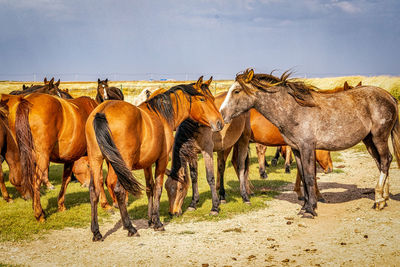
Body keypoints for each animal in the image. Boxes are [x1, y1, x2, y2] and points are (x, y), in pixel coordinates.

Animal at [12, 92, 97, 222]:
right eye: (87, 165)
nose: (86, 184)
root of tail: (27, 101)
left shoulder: (70, 159)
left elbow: (66, 180)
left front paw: (61, 205)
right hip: (42, 158)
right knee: (36, 181)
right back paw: (39, 214)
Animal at [85, 76, 223, 242]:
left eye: (212, 99)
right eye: (202, 99)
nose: (219, 122)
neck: (162, 115)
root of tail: (102, 112)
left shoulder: (147, 164)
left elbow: (149, 188)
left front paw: (150, 219)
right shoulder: (162, 160)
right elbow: (157, 188)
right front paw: (157, 222)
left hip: (96, 161)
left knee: (94, 191)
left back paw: (96, 232)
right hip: (121, 164)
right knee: (119, 190)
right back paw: (130, 227)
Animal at [165, 90, 252, 218]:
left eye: (180, 189)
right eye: (166, 188)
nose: (173, 213)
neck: (195, 127)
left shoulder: (207, 152)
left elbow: (210, 177)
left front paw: (214, 207)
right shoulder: (193, 153)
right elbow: (194, 176)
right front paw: (193, 203)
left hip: (243, 140)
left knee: (241, 167)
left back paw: (245, 197)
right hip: (224, 147)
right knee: (221, 168)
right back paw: (222, 197)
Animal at [220, 69, 398, 218]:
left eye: (236, 91)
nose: (222, 114)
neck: (294, 110)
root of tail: (389, 96)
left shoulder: (307, 148)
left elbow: (310, 177)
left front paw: (311, 209)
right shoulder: (297, 150)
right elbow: (305, 177)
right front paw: (305, 206)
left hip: (378, 137)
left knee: (385, 160)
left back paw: (379, 200)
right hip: (369, 140)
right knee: (381, 162)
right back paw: (383, 198)